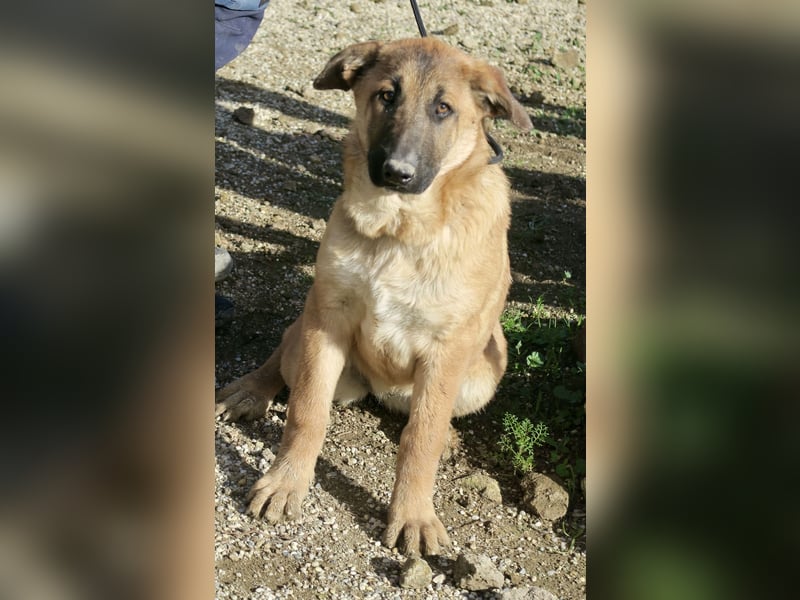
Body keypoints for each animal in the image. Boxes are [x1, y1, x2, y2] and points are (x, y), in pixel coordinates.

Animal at [216, 37, 532, 556]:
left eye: (444, 108)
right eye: (386, 96)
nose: (396, 172)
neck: (397, 228)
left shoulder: (446, 351)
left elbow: (420, 438)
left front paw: (413, 514)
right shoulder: (327, 319)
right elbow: (307, 412)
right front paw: (286, 482)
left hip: (485, 369)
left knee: (428, 416)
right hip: (313, 336)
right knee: (286, 352)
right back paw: (251, 389)